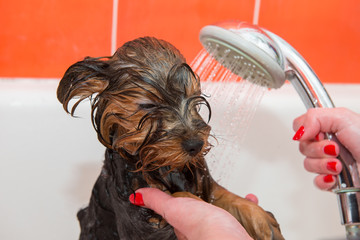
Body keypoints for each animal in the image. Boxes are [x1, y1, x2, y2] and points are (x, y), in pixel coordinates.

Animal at [57, 36, 284, 239]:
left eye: (194, 96)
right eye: (149, 105)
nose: (195, 145)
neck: (160, 163)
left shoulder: (203, 181)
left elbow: (225, 195)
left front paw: (263, 221)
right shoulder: (138, 218)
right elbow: (181, 197)